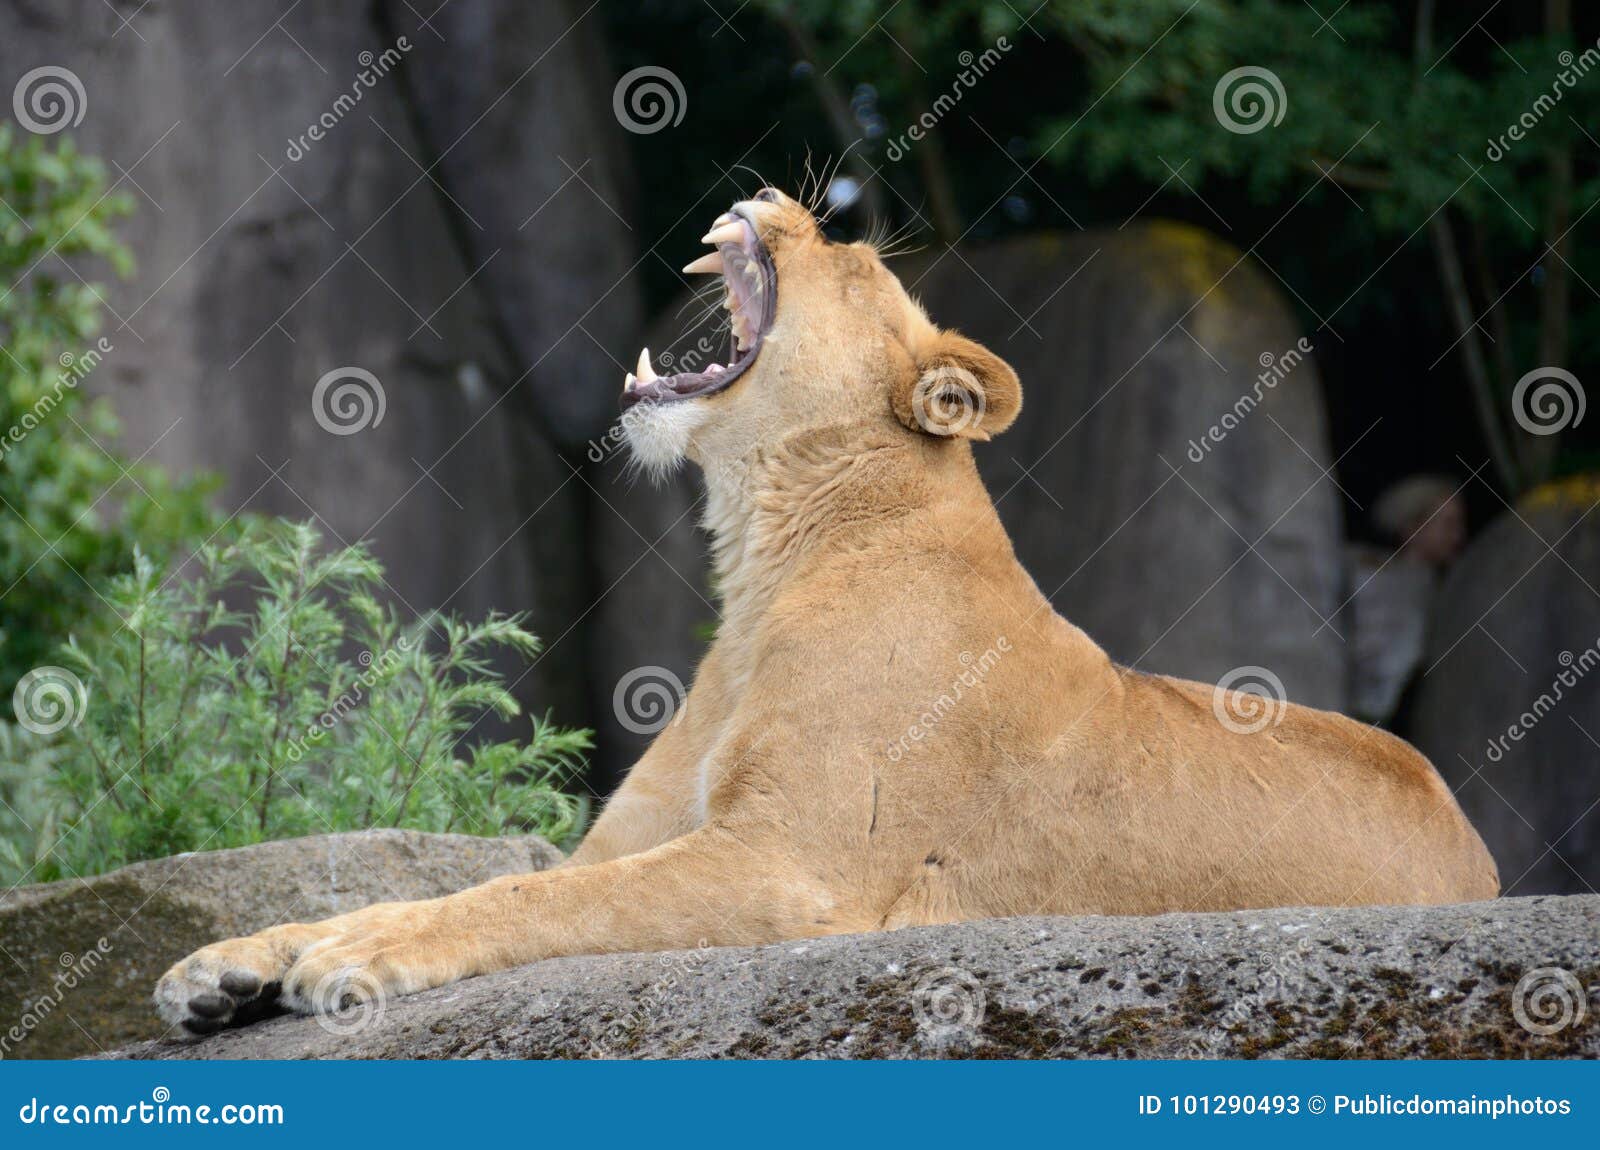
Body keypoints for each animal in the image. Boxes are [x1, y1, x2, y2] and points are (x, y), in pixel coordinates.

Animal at [156, 188, 1498, 1035]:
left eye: (852, 265)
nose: (773, 193)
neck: (763, 563)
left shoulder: (788, 868)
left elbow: (525, 900)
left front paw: (347, 961)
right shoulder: (643, 837)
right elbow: (443, 885)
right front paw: (227, 962)